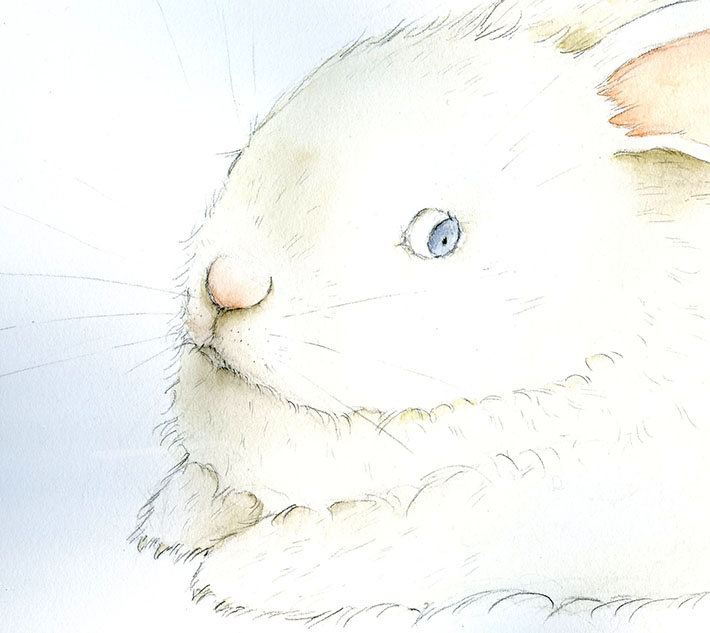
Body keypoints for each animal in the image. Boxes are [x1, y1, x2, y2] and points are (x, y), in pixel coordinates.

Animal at [133, 0, 710, 628]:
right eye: (242, 158)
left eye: (441, 236)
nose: (228, 286)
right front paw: (173, 520)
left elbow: (431, 532)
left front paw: (250, 574)